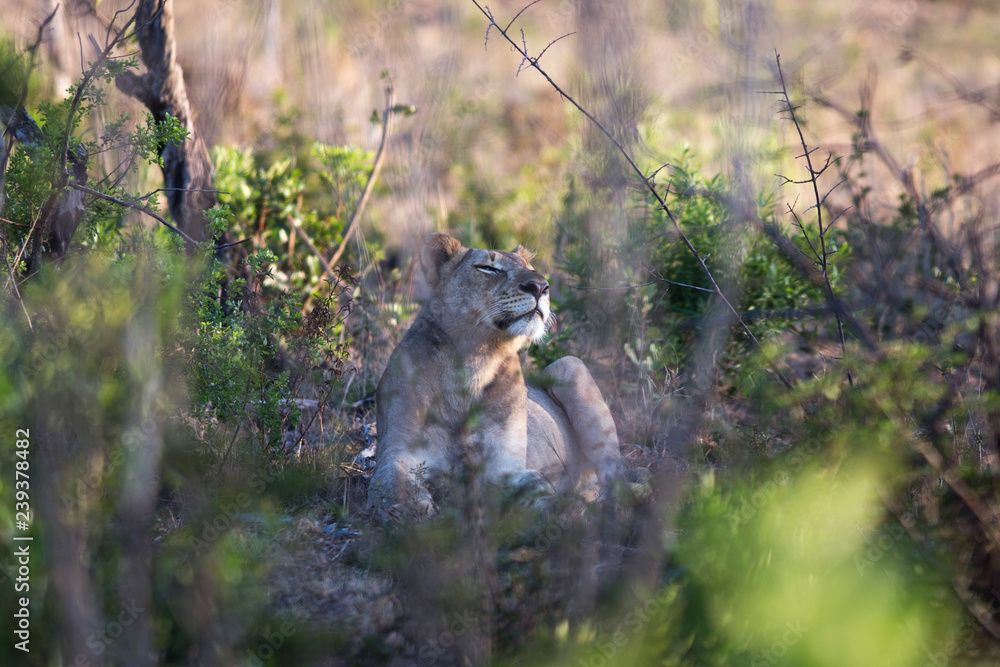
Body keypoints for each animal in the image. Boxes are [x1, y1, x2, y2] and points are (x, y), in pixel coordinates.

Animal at [367, 233, 623, 516]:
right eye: (488, 268)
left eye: (531, 269)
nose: (541, 287)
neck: (474, 364)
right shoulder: (396, 452)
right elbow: (391, 486)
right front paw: (416, 510)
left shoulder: (504, 463)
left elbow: (526, 488)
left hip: (569, 365)